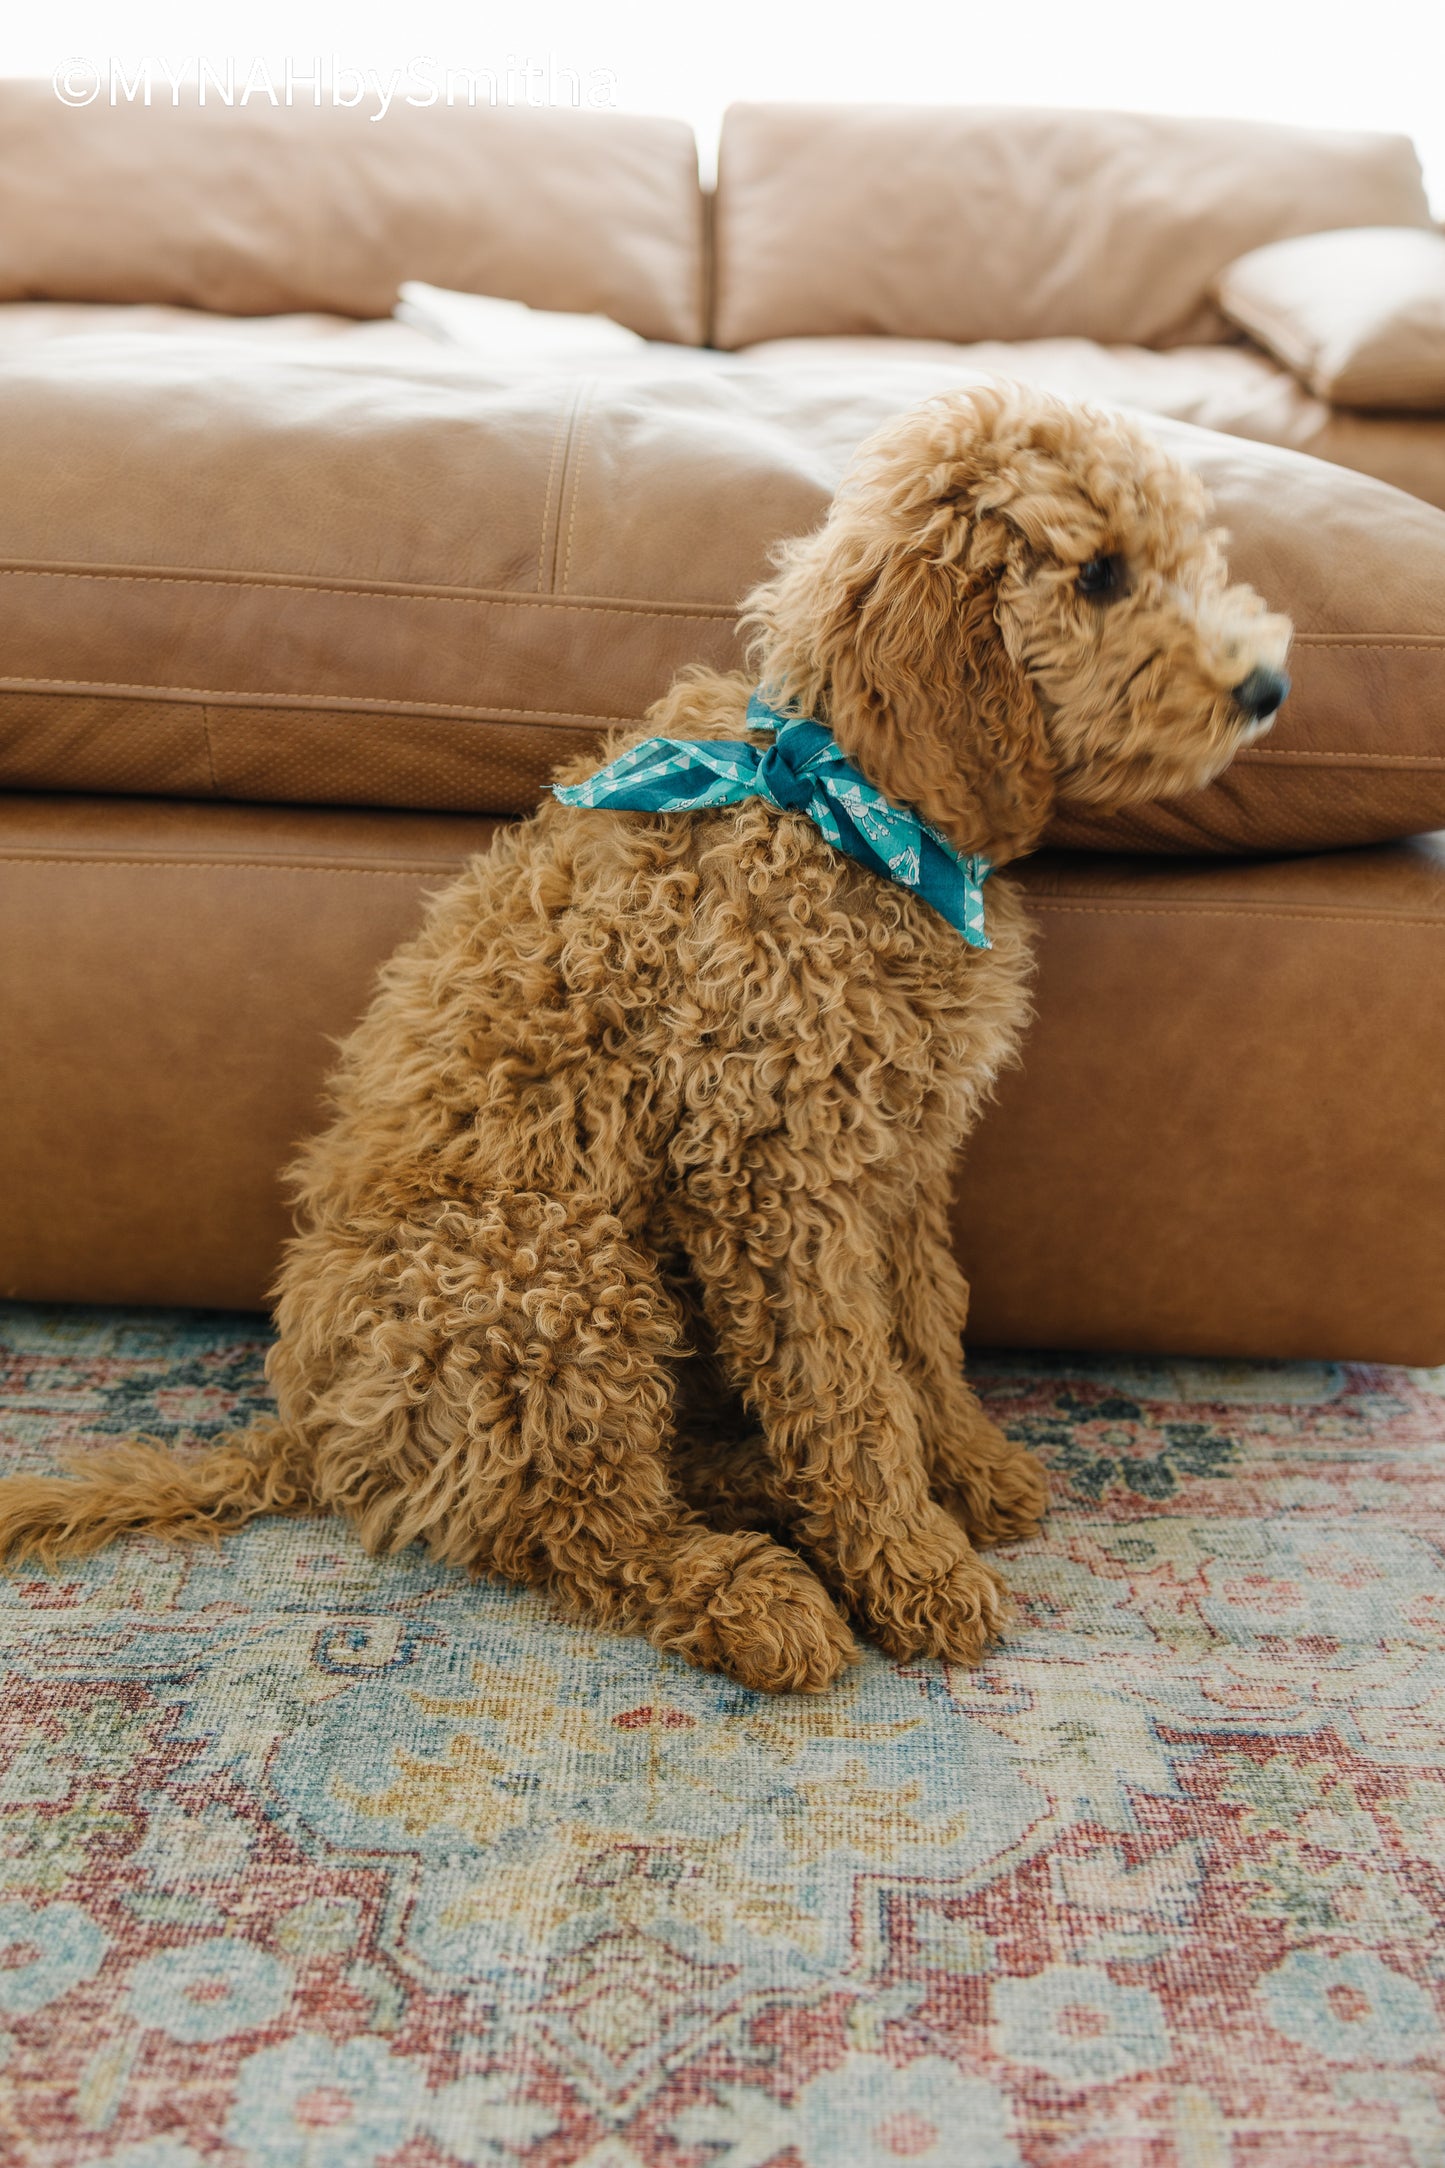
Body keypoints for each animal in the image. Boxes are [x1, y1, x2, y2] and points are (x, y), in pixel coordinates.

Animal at [0, 385, 1291, 1691]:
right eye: (1099, 575)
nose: (1268, 686)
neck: (848, 815)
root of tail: (313, 1429)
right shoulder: (774, 1177)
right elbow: (847, 1392)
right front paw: (914, 1565)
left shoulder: (900, 1163)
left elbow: (924, 1331)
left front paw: (965, 1471)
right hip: (548, 1278)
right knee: (575, 1526)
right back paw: (749, 1588)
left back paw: (759, 1489)